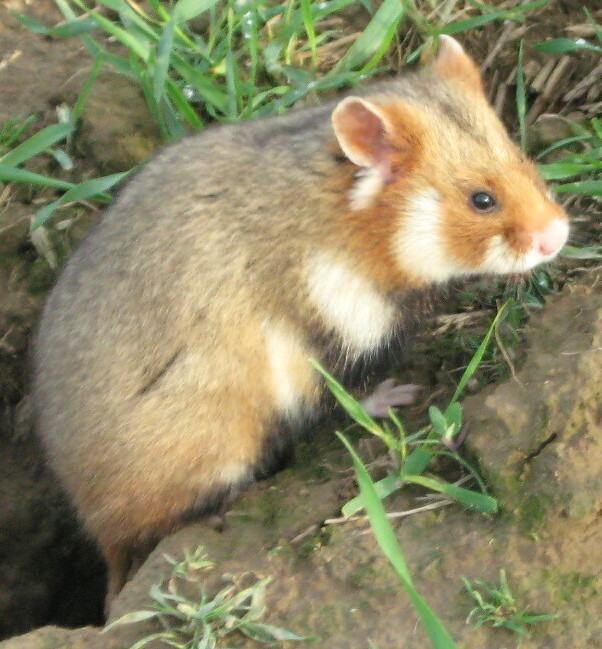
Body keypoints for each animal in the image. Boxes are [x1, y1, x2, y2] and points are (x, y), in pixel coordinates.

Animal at [32, 36, 569, 607]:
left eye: (523, 158)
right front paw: (401, 395)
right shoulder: (325, 338)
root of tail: (101, 535)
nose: (559, 235)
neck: (351, 225)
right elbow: (347, 398)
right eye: (481, 200)